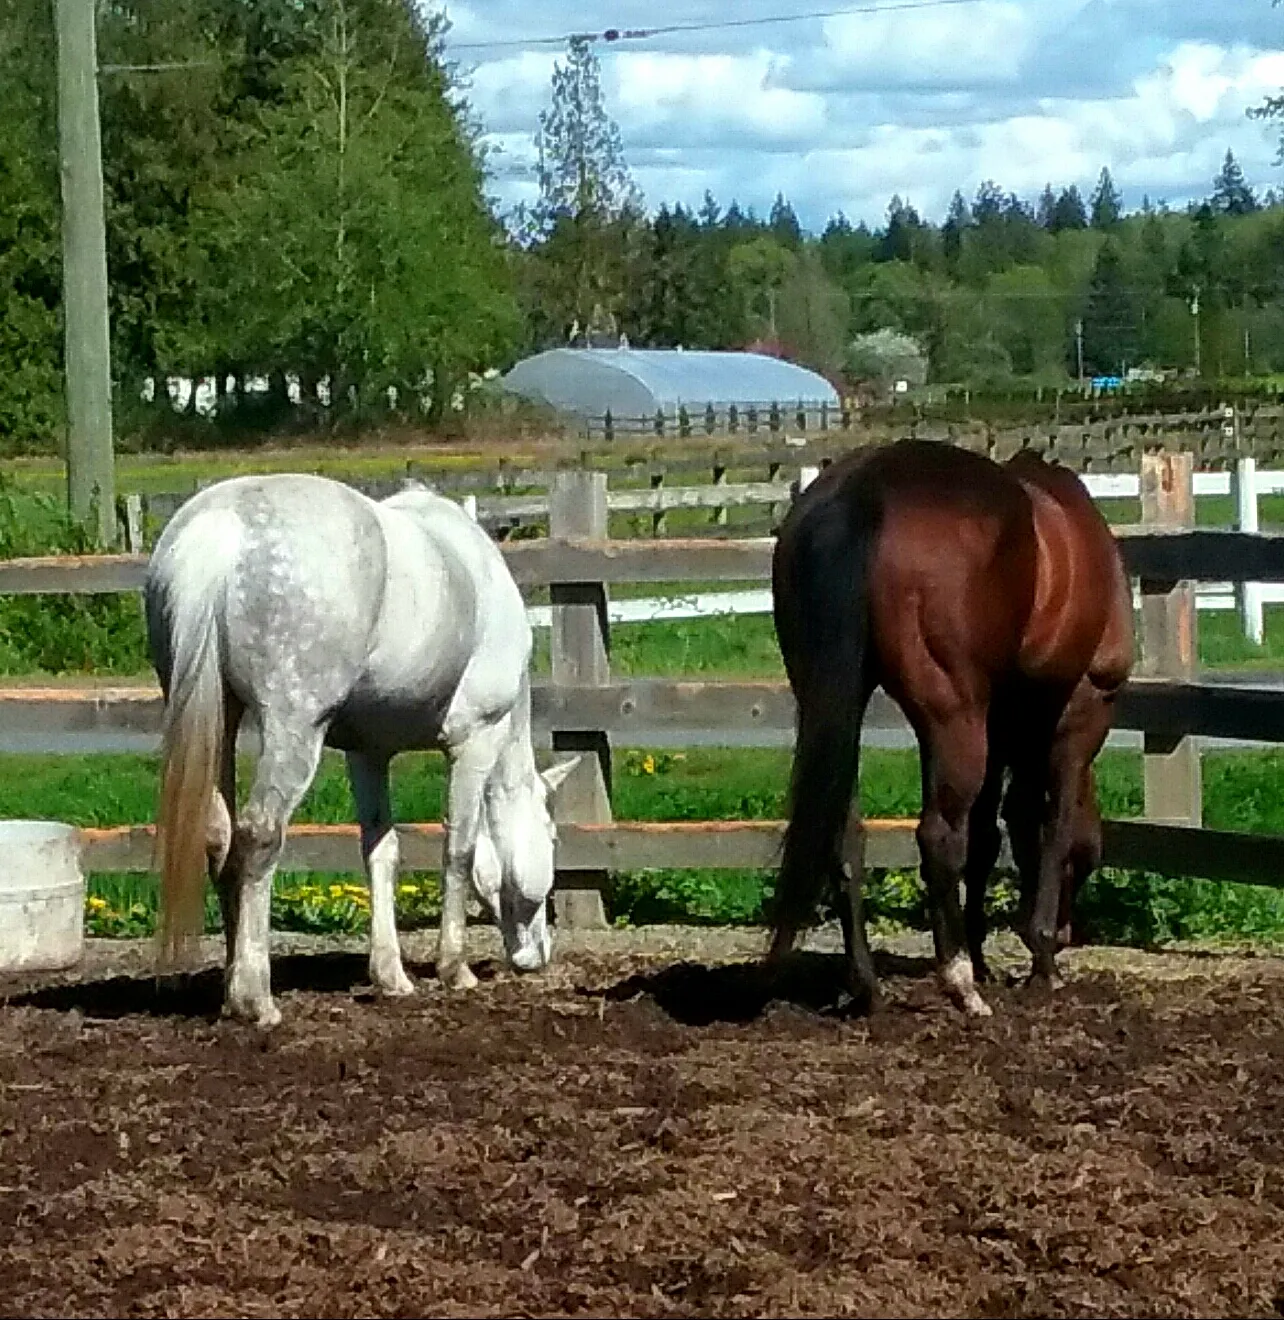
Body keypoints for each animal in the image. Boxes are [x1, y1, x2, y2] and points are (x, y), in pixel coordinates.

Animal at [145, 473, 579, 1028]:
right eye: (552, 837)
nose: (537, 955)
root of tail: (223, 526)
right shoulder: (475, 741)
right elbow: (458, 849)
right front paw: (454, 969)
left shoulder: (368, 754)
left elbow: (381, 851)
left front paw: (391, 976)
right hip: (293, 729)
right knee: (259, 834)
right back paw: (256, 997)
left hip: (218, 715)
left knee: (219, 837)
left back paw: (230, 986)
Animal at [768, 440, 1133, 1017]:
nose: (1069, 932)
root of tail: (865, 488)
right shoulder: (1081, 713)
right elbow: (1051, 826)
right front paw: (1040, 960)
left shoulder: (1002, 726)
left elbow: (990, 833)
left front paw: (986, 952)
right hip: (953, 717)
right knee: (939, 836)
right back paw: (959, 983)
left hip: (833, 702)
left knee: (848, 837)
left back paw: (867, 984)